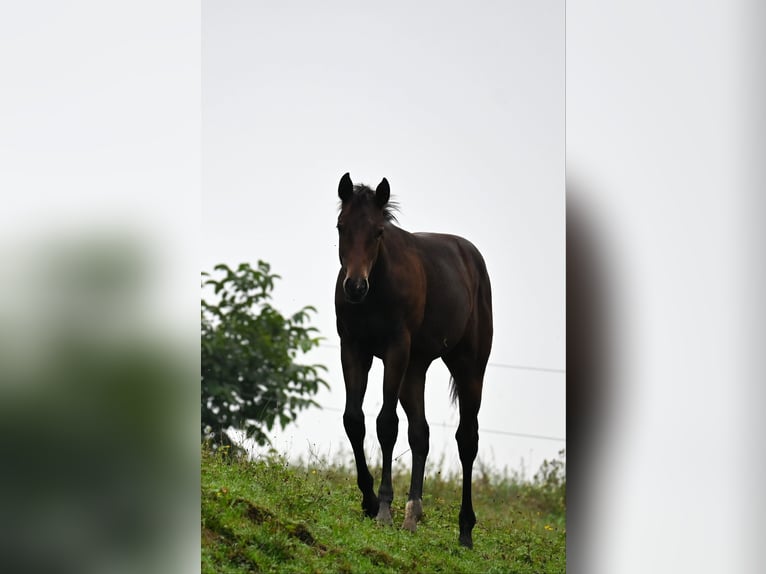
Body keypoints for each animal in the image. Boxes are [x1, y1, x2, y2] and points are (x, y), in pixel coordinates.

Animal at [334, 172, 492, 548]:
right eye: (341, 226)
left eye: (378, 231)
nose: (355, 287)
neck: (378, 287)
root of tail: (472, 259)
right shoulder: (353, 348)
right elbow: (354, 420)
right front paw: (369, 501)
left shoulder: (395, 350)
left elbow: (386, 424)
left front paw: (383, 509)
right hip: (415, 368)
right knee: (420, 433)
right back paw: (412, 515)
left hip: (468, 367)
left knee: (467, 439)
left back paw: (465, 531)